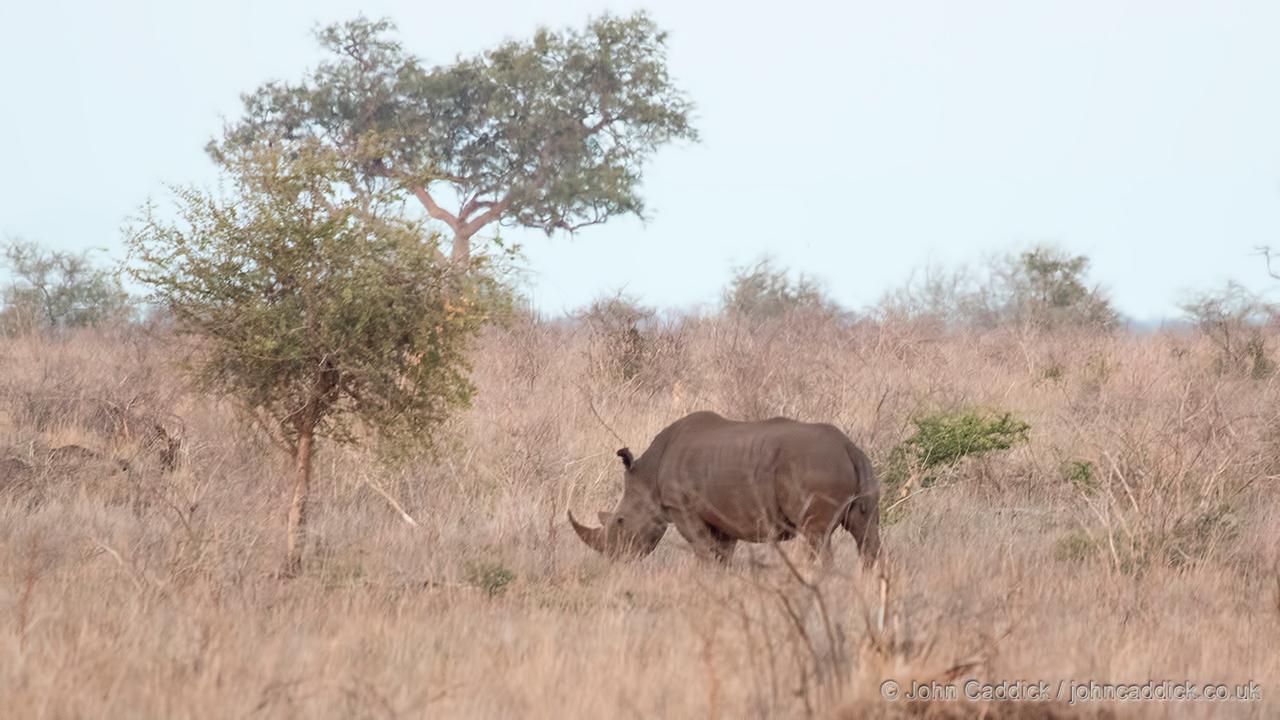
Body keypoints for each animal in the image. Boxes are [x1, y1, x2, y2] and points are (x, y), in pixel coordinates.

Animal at [569, 411, 880, 566]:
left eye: (621, 521)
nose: (614, 560)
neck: (648, 476)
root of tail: (848, 446)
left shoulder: (681, 507)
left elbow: (703, 549)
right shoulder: (724, 513)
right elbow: (722, 553)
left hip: (814, 465)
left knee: (816, 536)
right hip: (854, 466)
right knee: (865, 534)